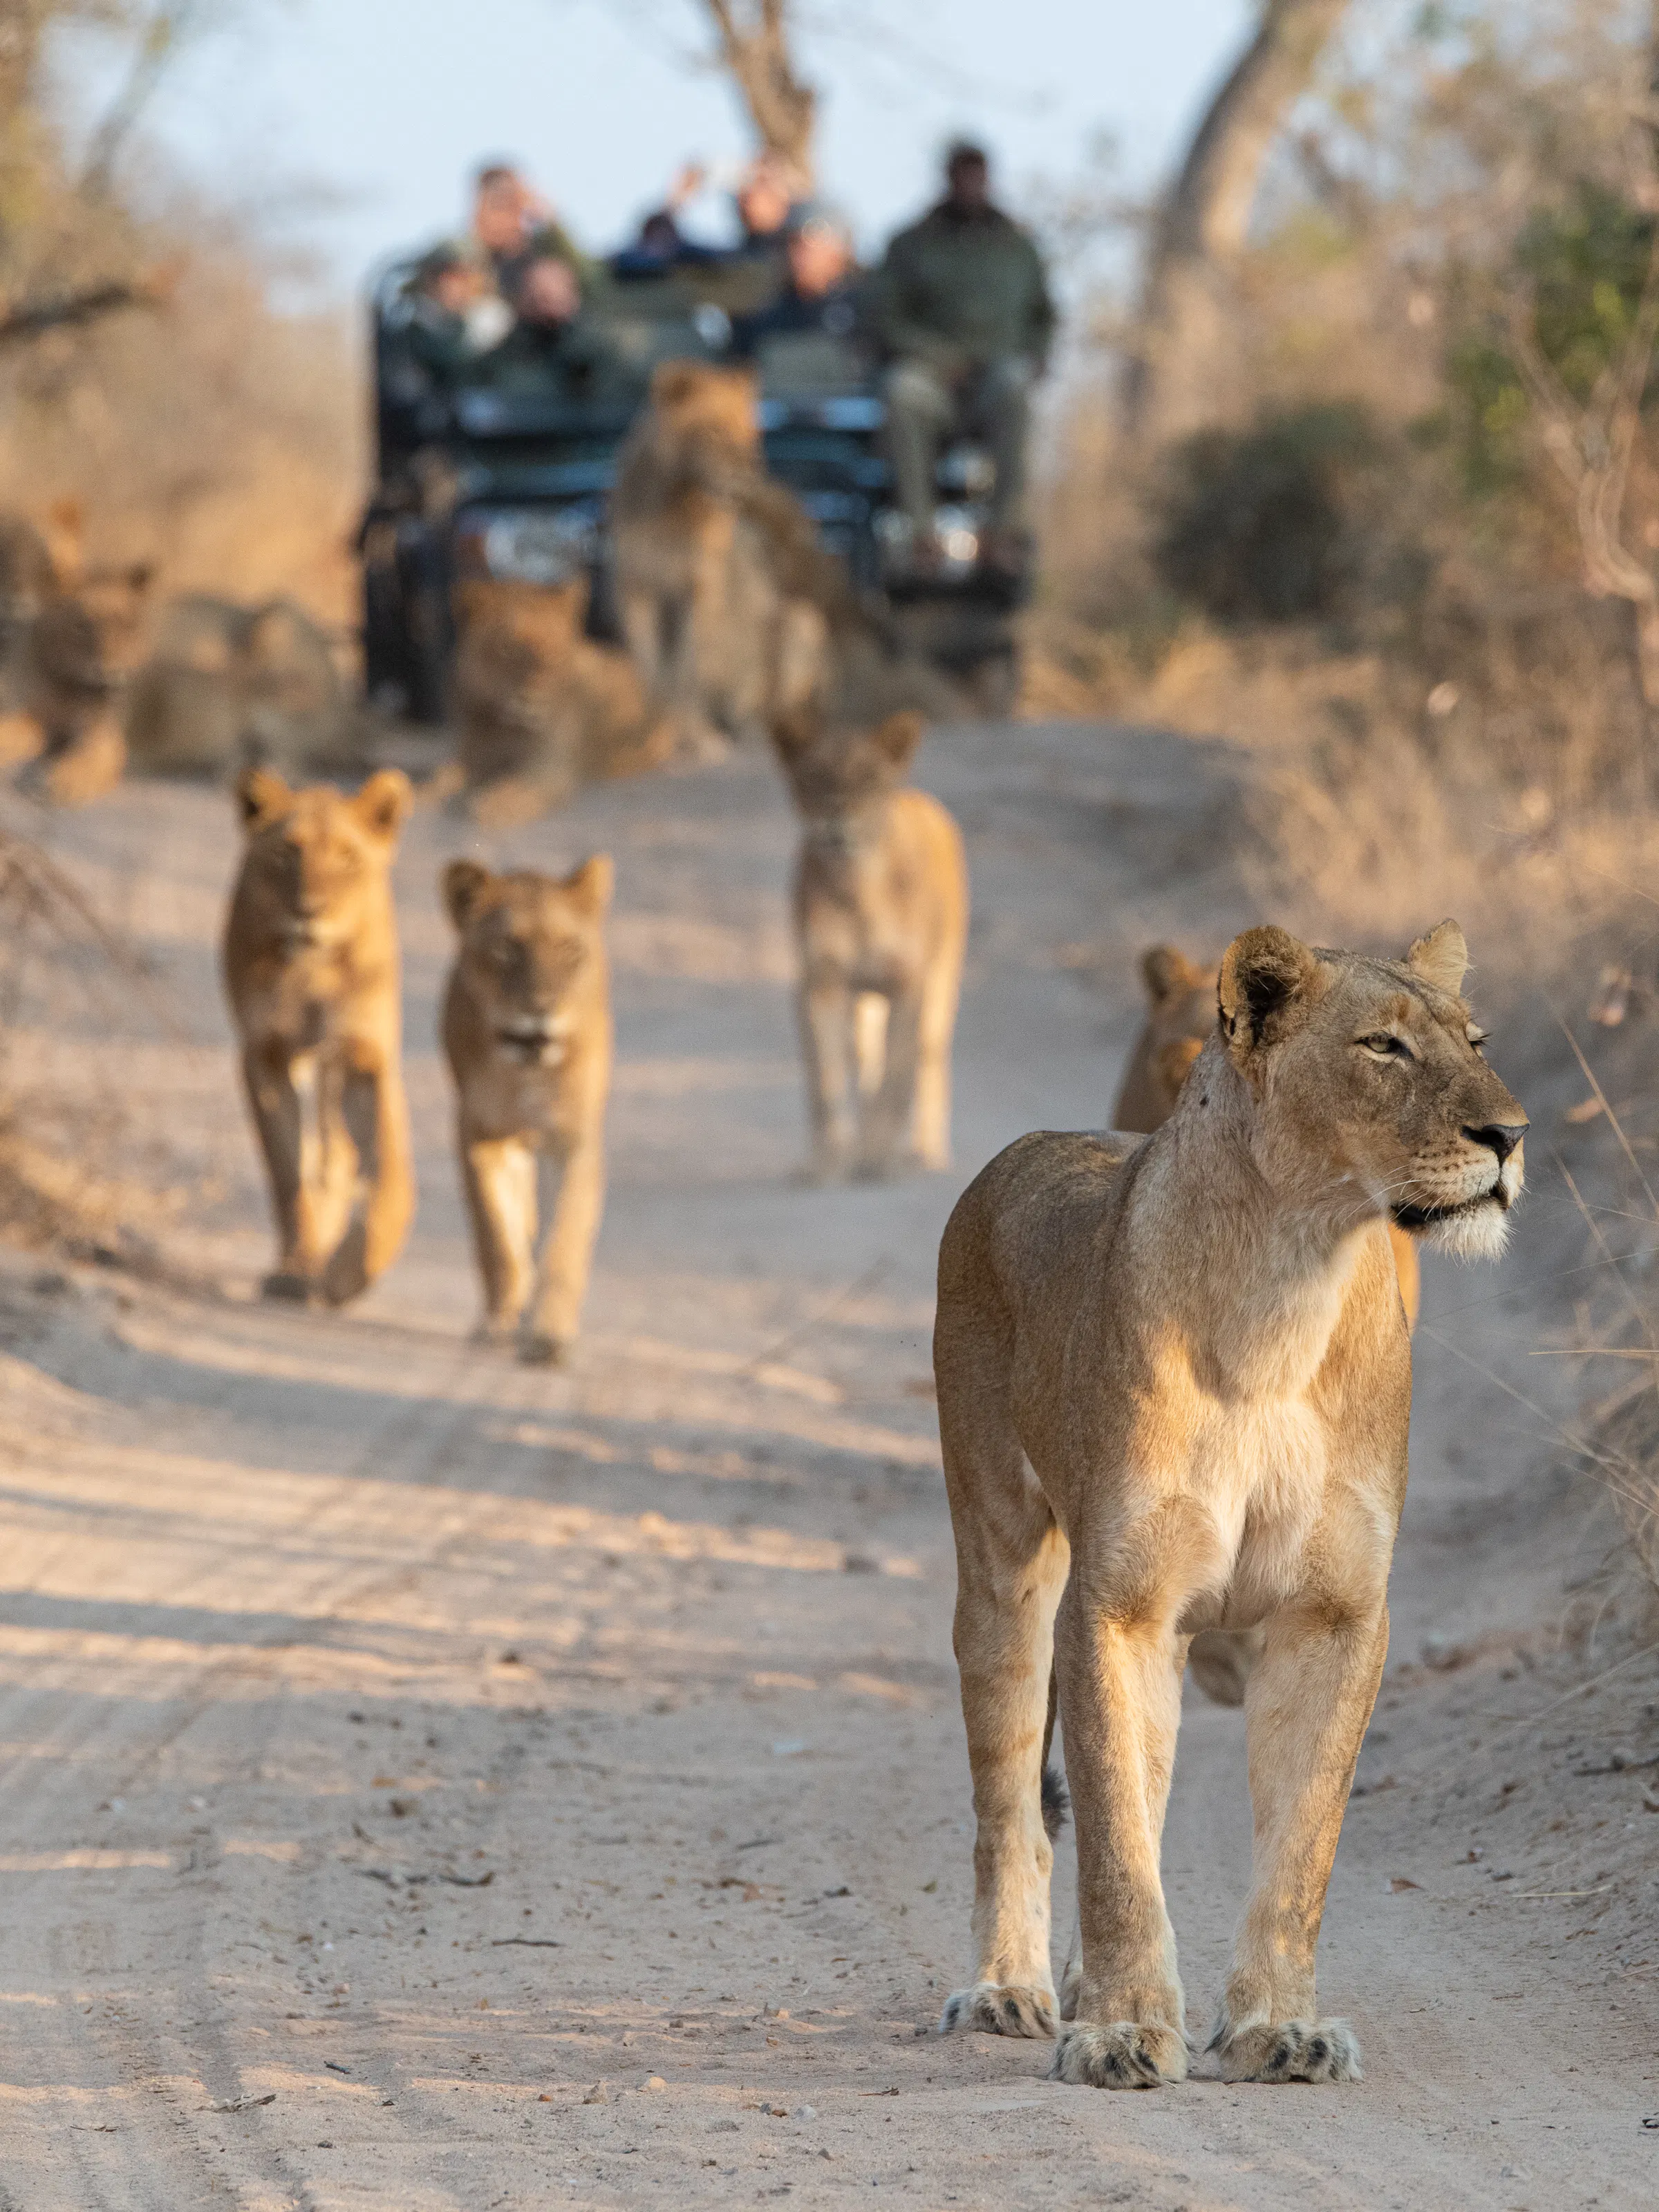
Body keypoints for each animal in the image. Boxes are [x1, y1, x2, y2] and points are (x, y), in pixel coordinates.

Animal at [222, 767, 415, 1306]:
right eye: (287, 854)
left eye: (347, 859)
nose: (309, 910)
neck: (312, 970)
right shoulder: (264, 1054)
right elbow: (288, 1172)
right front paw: (297, 1269)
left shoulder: (366, 1055)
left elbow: (388, 1172)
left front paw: (352, 1272)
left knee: (340, 1155)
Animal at [439, 856, 613, 1364]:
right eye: (506, 948)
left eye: (569, 949)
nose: (541, 1009)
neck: (526, 1070)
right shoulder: (477, 1132)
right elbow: (495, 1236)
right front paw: (498, 1322)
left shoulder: (574, 1138)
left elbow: (565, 1235)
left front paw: (548, 1334)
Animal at [451, 575, 673, 827]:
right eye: (506, 647)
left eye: (552, 648)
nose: (535, 697)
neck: (507, 726)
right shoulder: (471, 759)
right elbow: (445, 780)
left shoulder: (549, 771)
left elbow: (514, 789)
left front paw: (490, 806)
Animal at [771, 706, 967, 1180]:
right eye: (815, 777)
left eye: (867, 778)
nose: (836, 819)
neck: (855, 890)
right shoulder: (819, 982)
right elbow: (825, 1081)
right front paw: (826, 1163)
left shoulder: (907, 983)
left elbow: (895, 1079)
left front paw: (876, 1158)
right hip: (861, 1000)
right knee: (862, 1059)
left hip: (941, 979)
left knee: (928, 1059)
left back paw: (926, 1152)